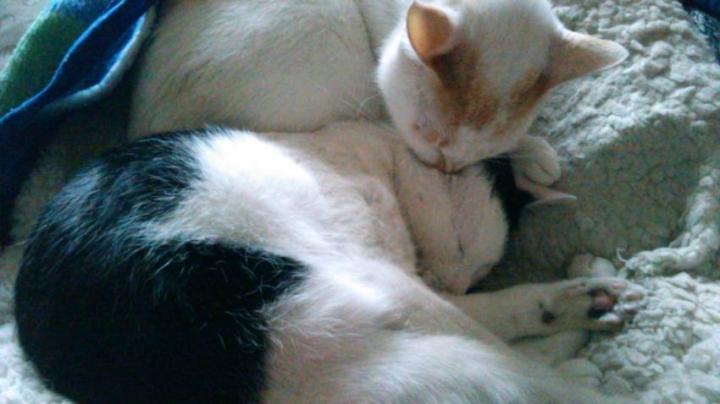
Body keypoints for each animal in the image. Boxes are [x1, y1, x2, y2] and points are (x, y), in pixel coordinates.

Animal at [15, 0, 635, 402]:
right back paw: (588, 325)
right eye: (465, 251)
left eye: (483, 266)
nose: (457, 282)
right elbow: (492, 315)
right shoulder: (397, 270)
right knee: (521, 371)